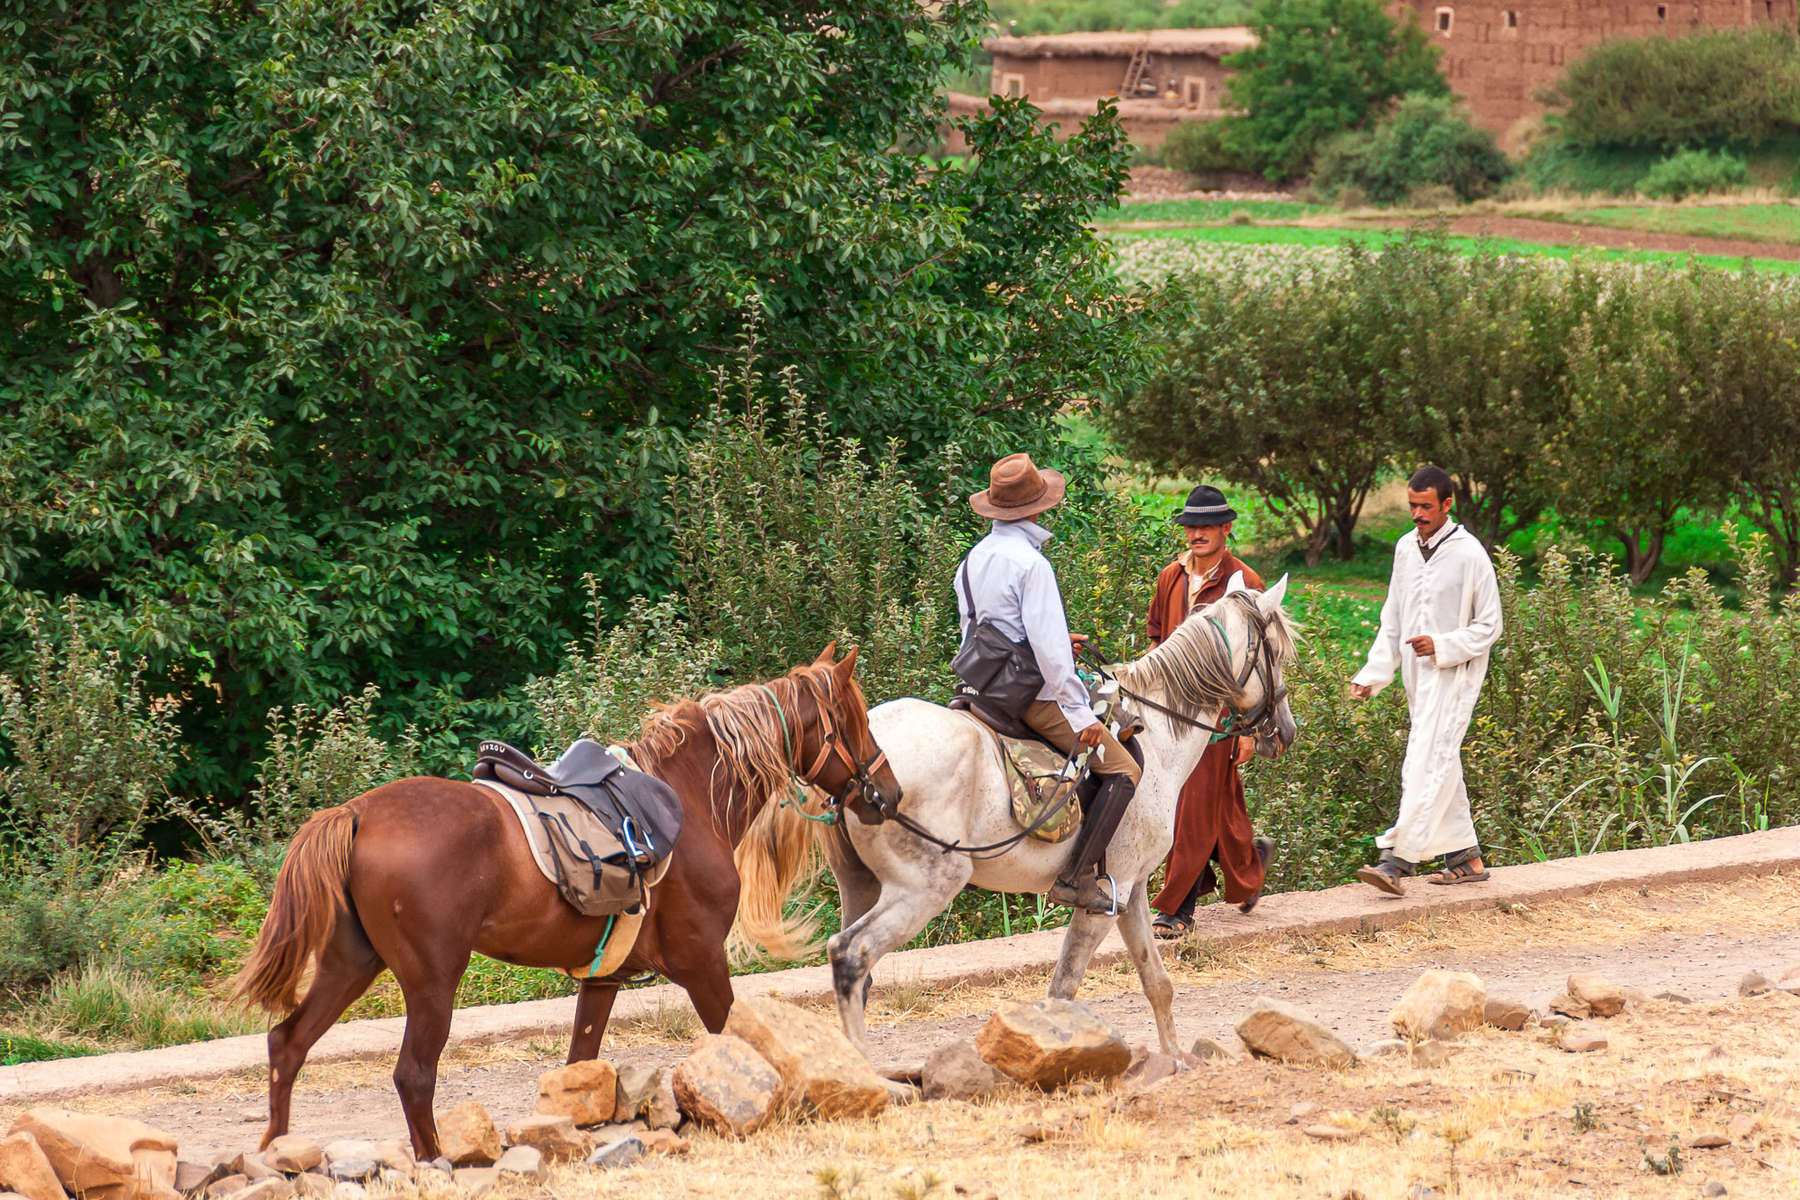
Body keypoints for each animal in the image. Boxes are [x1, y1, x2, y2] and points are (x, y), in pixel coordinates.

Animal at [232, 647, 900, 1165]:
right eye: (856, 721)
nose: (888, 794)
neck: (688, 796)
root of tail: (356, 812)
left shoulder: (601, 980)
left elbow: (580, 1064)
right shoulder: (702, 962)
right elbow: (730, 1045)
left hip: (351, 964)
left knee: (287, 1044)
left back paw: (276, 1151)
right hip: (431, 980)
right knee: (412, 1074)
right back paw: (434, 1161)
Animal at [813, 582, 1296, 1057]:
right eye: (1275, 651)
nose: (1286, 732)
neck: (1158, 733)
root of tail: (861, 760)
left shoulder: (1132, 888)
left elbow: (1157, 983)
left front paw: (1177, 1061)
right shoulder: (1105, 897)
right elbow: (1063, 989)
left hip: (859, 883)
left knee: (856, 973)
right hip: (926, 886)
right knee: (851, 955)